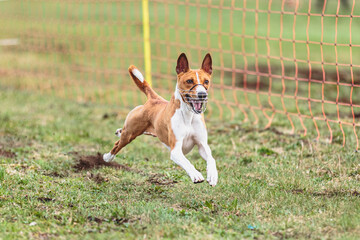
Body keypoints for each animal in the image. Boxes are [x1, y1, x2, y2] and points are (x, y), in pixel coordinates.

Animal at [102, 53, 218, 187]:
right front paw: (196, 175)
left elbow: (211, 158)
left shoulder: (202, 144)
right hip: (130, 134)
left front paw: (213, 176)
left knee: (122, 134)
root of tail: (154, 98)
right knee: (118, 144)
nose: (202, 94)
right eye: (189, 81)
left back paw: (118, 132)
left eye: (206, 81)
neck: (189, 115)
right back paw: (107, 157)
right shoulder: (176, 150)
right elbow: (187, 162)